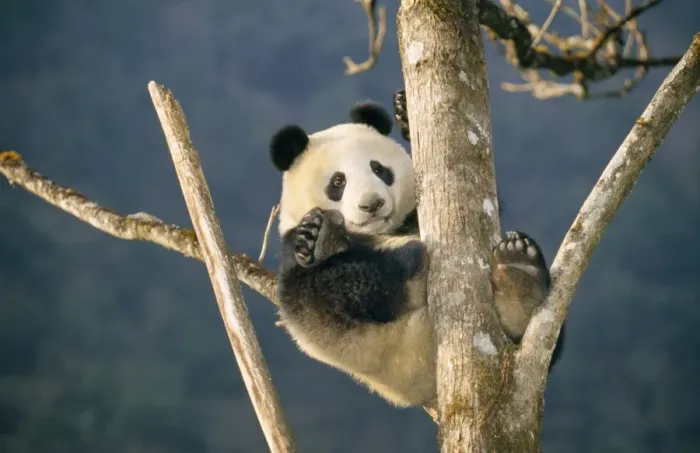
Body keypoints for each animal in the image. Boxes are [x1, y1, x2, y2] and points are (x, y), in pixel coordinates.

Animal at [268, 99, 564, 408]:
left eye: (379, 169)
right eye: (338, 182)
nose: (372, 204)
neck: (383, 232)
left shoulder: (410, 218)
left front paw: (405, 113)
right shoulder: (292, 253)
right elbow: (322, 286)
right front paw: (317, 237)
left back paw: (519, 277)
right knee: (333, 291)